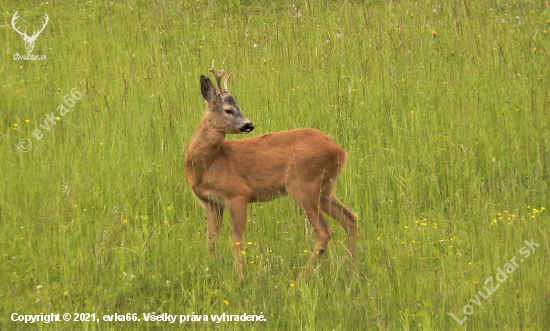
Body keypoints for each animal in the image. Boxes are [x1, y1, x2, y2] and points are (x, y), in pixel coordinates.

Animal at [185, 61, 358, 282]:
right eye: (228, 110)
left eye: (238, 107)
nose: (249, 125)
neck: (209, 164)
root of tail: (341, 151)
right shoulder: (211, 203)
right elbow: (211, 240)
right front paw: (210, 270)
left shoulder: (238, 194)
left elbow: (237, 239)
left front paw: (239, 279)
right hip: (325, 189)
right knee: (350, 218)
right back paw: (352, 272)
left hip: (304, 186)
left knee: (325, 231)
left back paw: (300, 280)